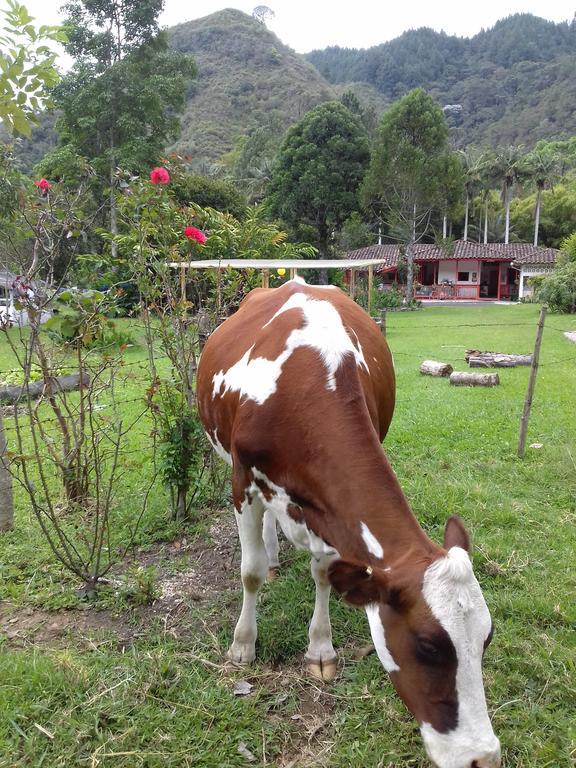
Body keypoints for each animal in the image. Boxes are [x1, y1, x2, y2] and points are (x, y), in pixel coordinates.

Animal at [196, 278, 502, 768]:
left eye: (486, 638)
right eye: (428, 645)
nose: (483, 757)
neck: (302, 390)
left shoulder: (328, 509)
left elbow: (324, 572)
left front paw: (320, 648)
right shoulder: (242, 481)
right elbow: (250, 572)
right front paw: (243, 644)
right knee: (262, 543)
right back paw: (272, 554)